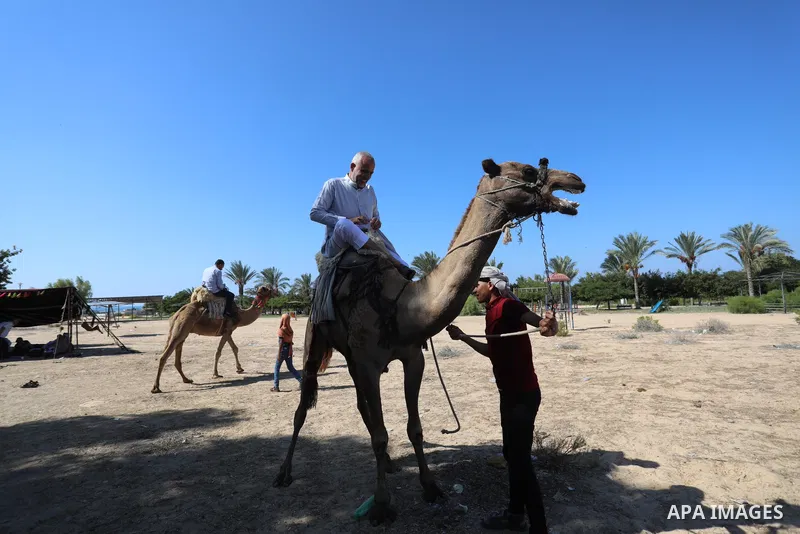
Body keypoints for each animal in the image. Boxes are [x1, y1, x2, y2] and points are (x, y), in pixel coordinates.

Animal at [273, 157, 586, 525]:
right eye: (527, 171)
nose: (575, 180)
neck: (404, 305)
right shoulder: (368, 362)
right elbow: (381, 434)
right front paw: (382, 505)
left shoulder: (412, 358)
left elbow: (414, 428)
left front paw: (431, 488)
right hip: (315, 338)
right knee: (303, 405)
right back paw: (283, 473)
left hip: (350, 358)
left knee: (362, 408)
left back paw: (389, 465)